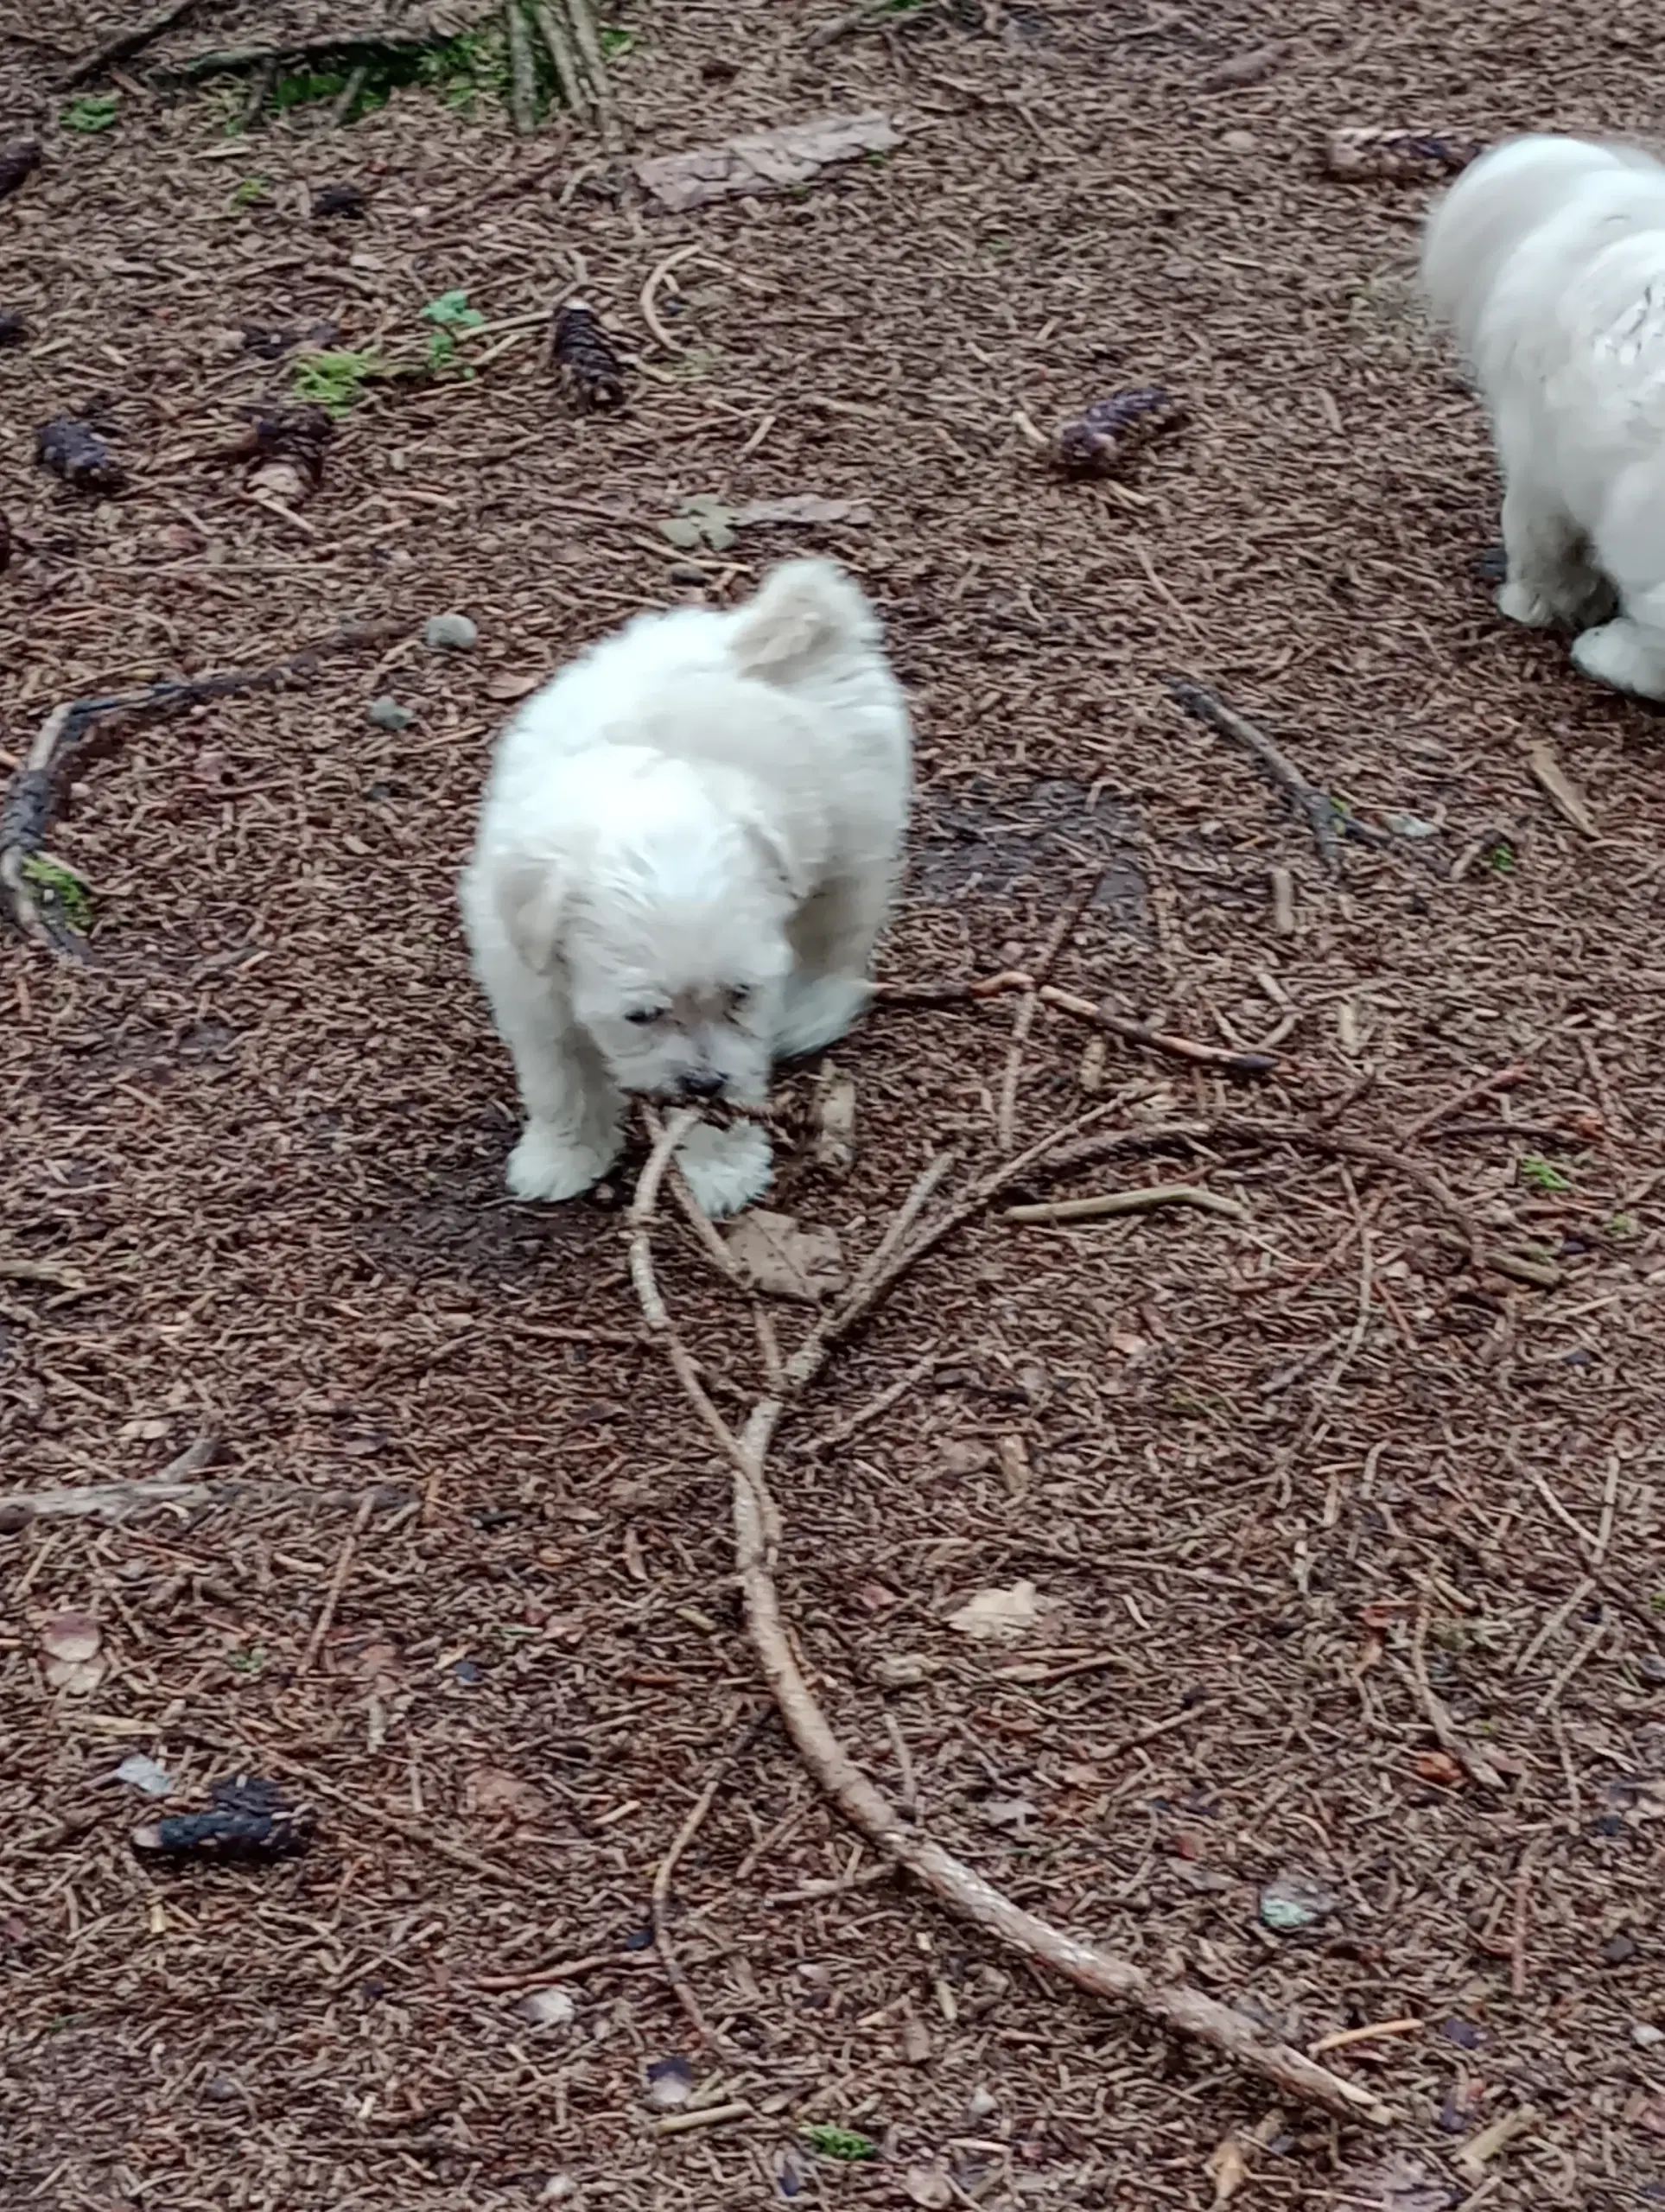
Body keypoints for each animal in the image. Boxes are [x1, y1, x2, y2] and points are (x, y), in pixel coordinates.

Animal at [457, 553, 911, 1211]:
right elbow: (561, 1081)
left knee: (839, 930)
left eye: (739, 994)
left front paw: (721, 1170)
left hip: (853, 838)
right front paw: (562, 1157)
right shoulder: (528, 990)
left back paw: (814, 1010)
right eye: (641, 1014)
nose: (702, 1081)